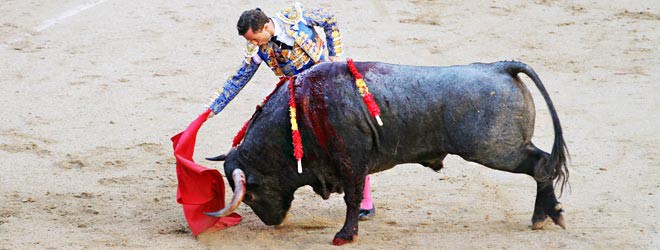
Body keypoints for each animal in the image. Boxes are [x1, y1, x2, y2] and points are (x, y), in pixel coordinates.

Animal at [205, 61, 568, 246]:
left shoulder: (351, 162)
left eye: (250, 195)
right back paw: (547, 215)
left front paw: (345, 235)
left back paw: (544, 217)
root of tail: (500, 67)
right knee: (543, 165)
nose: (274, 223)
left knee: (541, 165)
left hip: (495, 149)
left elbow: (352, 199)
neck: (303, 112)